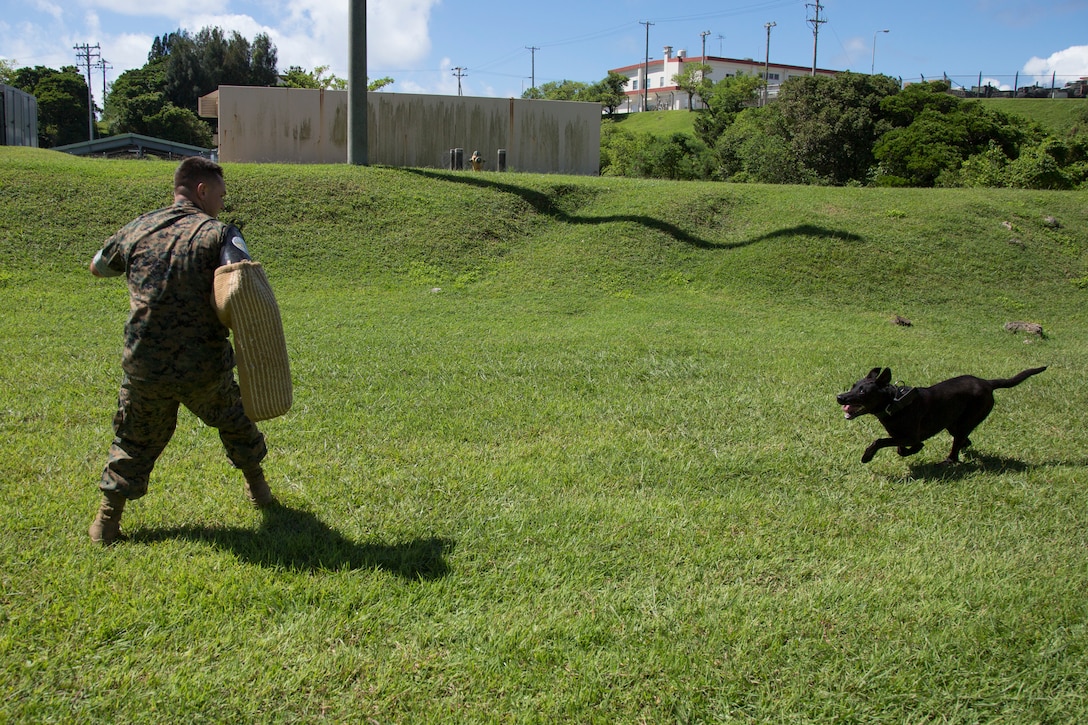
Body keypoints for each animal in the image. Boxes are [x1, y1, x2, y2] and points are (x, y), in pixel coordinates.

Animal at [831, 367, 1044, 463]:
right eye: (853, 386)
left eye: (862, 392)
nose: (840, 397)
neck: (895, 402)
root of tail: (987, 383)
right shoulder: (901, 435)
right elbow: (899, 447)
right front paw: (912, 450)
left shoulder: (910, 435)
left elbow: (881, 441)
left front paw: (867, 455)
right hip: (953, 422)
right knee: (963, 439)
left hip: (968, 419)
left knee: (957, 447)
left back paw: (949, 461)